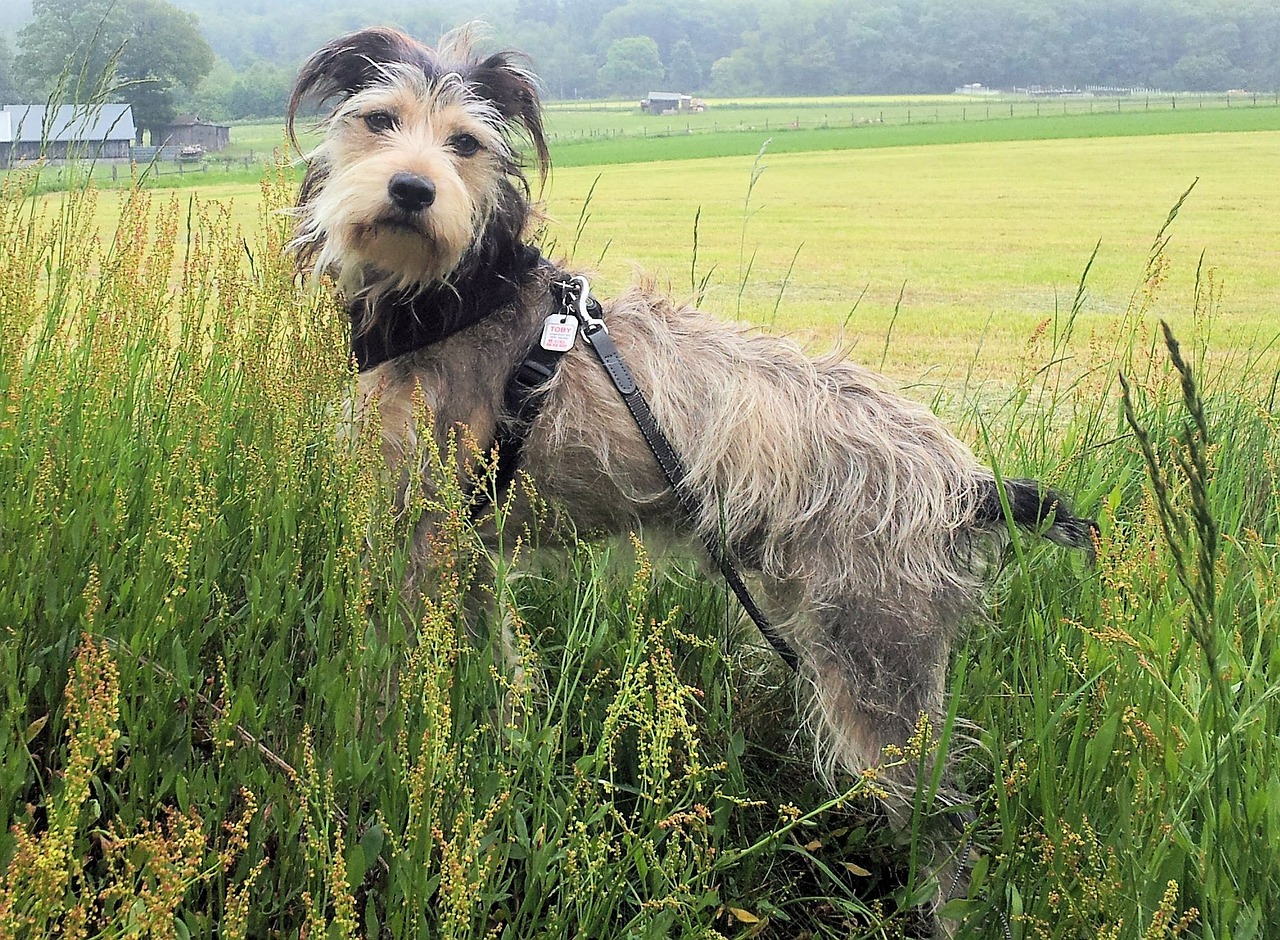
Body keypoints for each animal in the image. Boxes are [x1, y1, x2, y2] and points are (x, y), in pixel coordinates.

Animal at [288, 20, 1090, 870]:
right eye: (380, 121)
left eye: (465, 142)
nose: (413, 189)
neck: (458, 295)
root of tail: (968, 483)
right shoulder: (464, 551)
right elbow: (491, 674)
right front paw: (496, 752)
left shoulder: (425, 536)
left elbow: (397, 673)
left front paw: (387, 754)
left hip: (876, 666)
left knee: (946, 823)